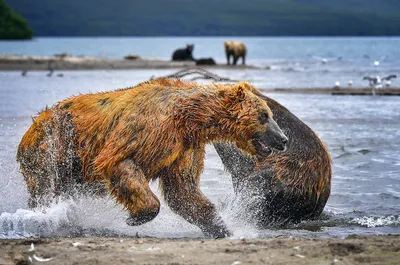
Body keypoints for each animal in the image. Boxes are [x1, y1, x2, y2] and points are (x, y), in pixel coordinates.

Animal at [17, 78, 290, 237]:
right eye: (264, 115)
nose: (284, 139)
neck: (190, 117)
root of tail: (31, 126)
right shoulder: (145, 129)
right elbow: (119, 162)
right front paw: (136, 216)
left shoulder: (184, 147)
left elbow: (183, 191)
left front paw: (221, 228)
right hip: (53, 144)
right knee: (45, 185)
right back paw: (40, 214)